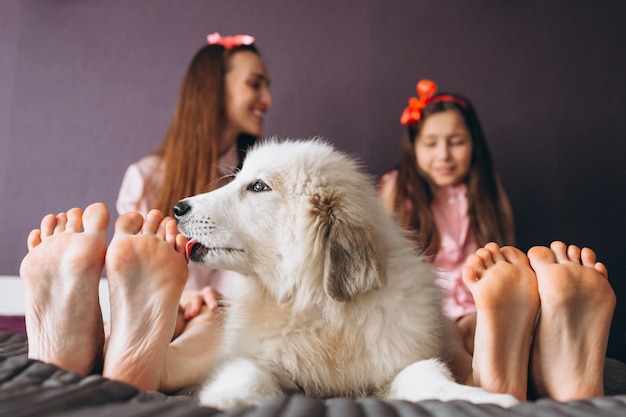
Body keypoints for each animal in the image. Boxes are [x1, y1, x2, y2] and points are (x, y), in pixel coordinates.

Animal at [173, 140, 516, 410]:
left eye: (258, 186)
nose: (178, 207)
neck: (317, 309)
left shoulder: (398, 363)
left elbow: (427, 376)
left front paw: (487, 399)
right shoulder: (259, 358)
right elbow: (246, 373)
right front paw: (225, 399)